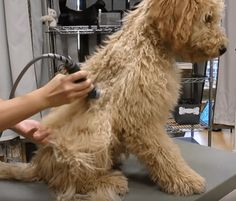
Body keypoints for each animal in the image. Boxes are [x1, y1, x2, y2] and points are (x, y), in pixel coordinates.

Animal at [0, 0, 229, 200]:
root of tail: (38, 164)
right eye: (207, 18)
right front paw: (185, 179)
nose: (224, 48)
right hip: (94, 130)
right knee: (69, 179)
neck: (147, 43)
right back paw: (105, 181)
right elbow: (164, 152)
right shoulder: (139, 120)